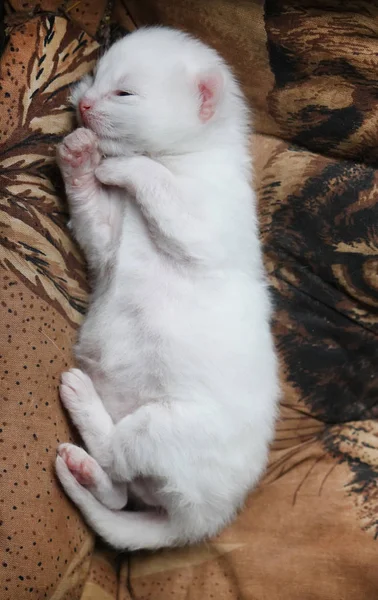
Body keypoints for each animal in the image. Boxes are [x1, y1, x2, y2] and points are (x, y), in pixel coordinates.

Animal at [54, 25, 278, 552]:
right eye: (97, 76)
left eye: (124, 93)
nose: (83, 103)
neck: (185, 158)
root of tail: (201, 522)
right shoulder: (104, 239)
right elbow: (91, 207)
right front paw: (79, 154)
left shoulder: (204, 226)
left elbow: (153, 178)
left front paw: (117, 166)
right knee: (118, 491)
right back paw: (80, 464)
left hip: (159, 428)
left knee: (117, 456)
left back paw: (80, 400)